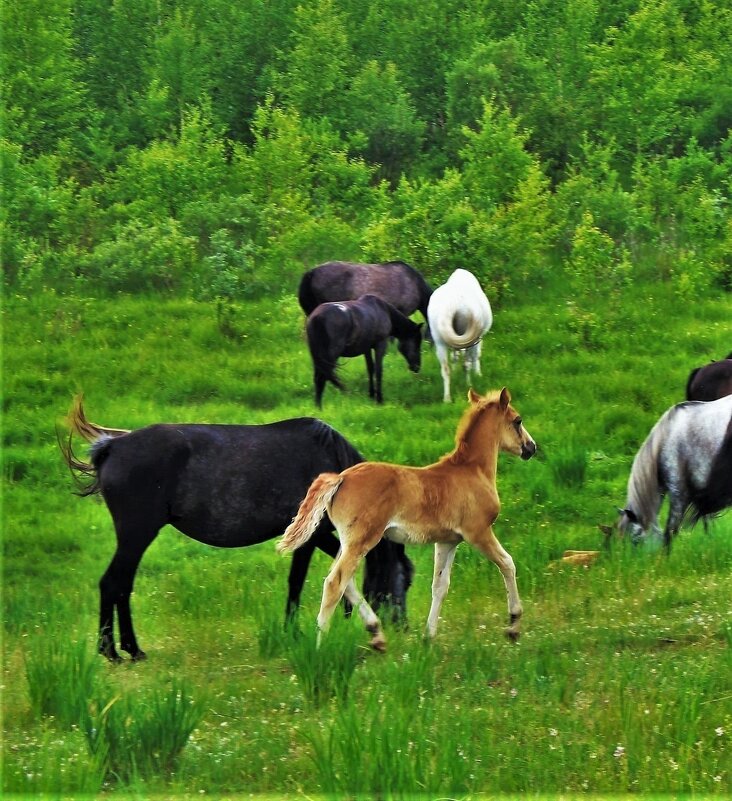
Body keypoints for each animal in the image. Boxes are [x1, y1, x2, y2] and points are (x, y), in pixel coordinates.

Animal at [60, 396, 414, 664]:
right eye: (405, 580)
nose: (404, 627)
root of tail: (112, 447)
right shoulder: (309, 536)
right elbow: (297, 583)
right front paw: (293, 631)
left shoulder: (319, 535)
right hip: (137, 534)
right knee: (113, 584)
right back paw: (114, 650)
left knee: (122, 585)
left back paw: (129, 649)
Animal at [278, 386, 536, 648]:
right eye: (518, 420)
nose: (531, 447)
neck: (471, 471)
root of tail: (340, 477)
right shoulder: (479, 532)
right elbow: (507, 564)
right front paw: (513, 626)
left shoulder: (447, 541)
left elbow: (440, 586)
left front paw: (428, 637)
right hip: (361, 541)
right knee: (335, 582)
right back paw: (320, 645)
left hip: (349, 541)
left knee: (346, 582)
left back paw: (377, 635)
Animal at [426, 268, 494, 404]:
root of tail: (456, 303)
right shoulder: (477, 340)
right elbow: (475, 356)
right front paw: (477, 374)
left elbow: (456, 358)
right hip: (471, 337)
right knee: (467, 363)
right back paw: (468, 384)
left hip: (439, 341)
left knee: (446, 369)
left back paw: (447, 398)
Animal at [616, 394, 732, 552]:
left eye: (635, 540)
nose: (633, 557)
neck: (666, 439)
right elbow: (707, 525)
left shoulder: (679, 493)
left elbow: (670, 531)